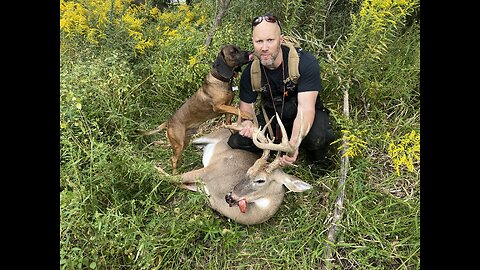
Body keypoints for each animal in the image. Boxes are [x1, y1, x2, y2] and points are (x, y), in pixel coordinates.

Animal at [137, 44, 253, 174]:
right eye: (233, 52)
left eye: (239, 48)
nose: (250, 53)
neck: (220, 80)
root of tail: (168, 122)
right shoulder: (218, 106)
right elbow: (235, 109)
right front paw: (247, 114)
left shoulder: (227, 106)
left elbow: (231, 116)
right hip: (178, 144)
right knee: (173, 159)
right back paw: (175, 174)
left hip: (184, 142)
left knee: (177, 158)